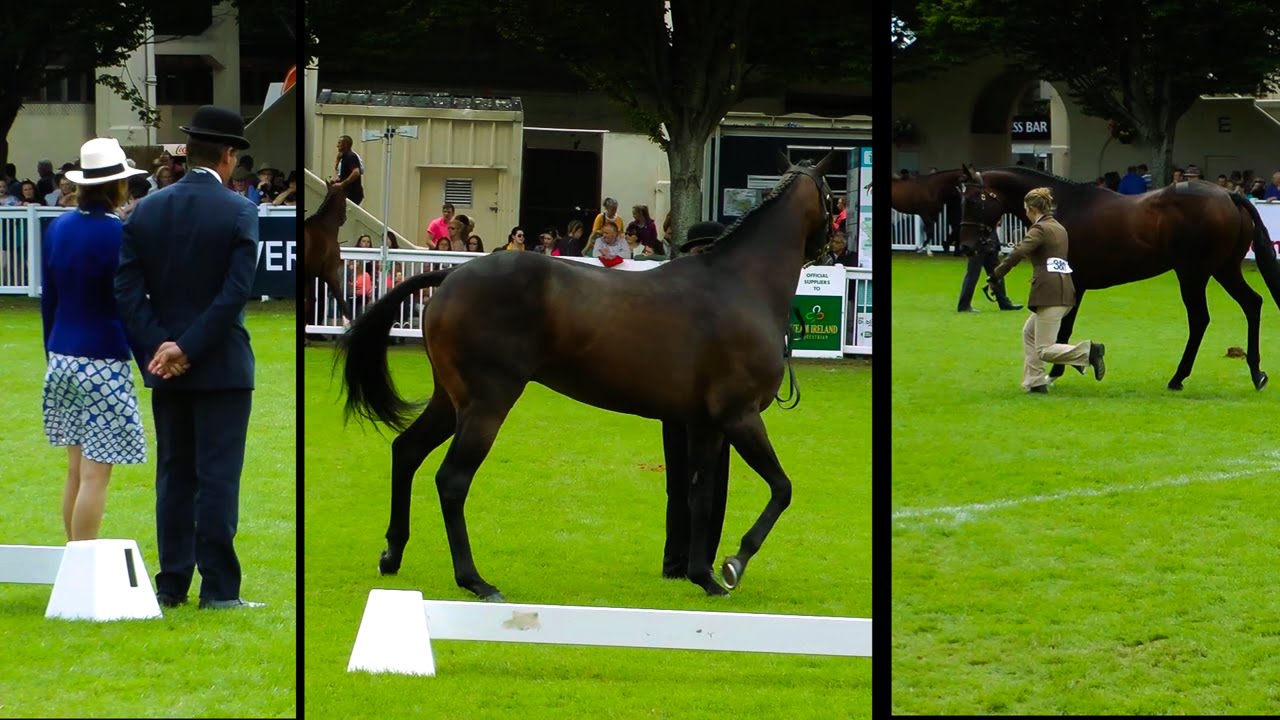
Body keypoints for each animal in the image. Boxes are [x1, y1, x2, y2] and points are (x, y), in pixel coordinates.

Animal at [303, 183, 352, 342]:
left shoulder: (310, 275)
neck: (324, 227)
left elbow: (309, 302)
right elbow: (341, 301)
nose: (344, 218)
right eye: (345, 199)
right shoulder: (329, 274)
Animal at [337, 155, 835, 600]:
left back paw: (392, 555)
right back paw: (475, 581)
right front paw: (733, 564)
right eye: (833, 197)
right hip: (486, 405)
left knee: (407, 452)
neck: (739, 284)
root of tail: (452, 275)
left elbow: (701, 496)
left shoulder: (704, 424)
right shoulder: (740, 416)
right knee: (452, 480)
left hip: (450, 401)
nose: (831, 247)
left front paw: (703, 576)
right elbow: (781, 489)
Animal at [954, 165, 1280, 391]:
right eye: (962, 200)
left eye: (974, 201)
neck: (1065, 208)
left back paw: (1178, 377)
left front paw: (1057, 371)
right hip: (1224, 269)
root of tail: (1230, 194)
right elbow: (1063, 329)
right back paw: (1256, 373)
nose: (966, 246)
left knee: (1200, 319)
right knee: (1252, 303)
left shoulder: (1073, 282)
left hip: (1193, 273)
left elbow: (1063, 329)